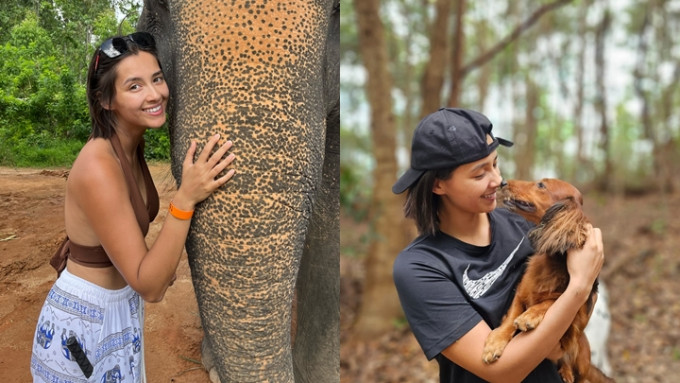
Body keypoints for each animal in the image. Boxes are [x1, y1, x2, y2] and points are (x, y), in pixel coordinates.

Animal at [480, 180, 612, 383]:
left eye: (541, 185)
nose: (503, 182)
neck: (552, 260)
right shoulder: (520, 294)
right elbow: (510, 319)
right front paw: (495, 343)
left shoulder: (577, 312)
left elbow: (552, 300)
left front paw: (529, 316)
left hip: (583, 353)